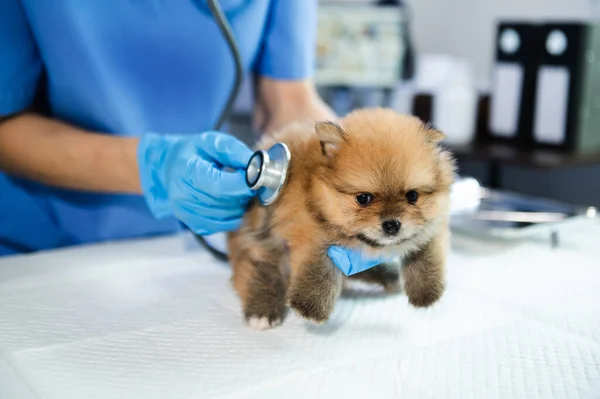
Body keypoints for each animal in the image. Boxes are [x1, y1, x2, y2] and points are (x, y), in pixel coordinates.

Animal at [225, 108, 454, 330]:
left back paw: (388, 276)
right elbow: (318, 267)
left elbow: (427, 253)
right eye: (363, 198)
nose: (392, 225)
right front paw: (310, 308)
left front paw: (426, 293)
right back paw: (262, 313)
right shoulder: (310, 231)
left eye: (412, 196)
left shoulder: (432, 224)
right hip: (262, 242)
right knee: (261, 271)